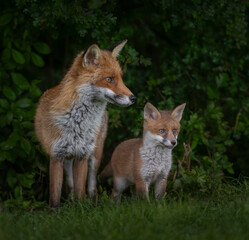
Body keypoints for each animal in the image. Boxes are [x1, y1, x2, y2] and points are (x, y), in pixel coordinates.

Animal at [34, 39, 135, 208]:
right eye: (109, 79)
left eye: (121, 78)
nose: (134, 98)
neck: (77, 122)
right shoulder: (56, 156)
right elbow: (55, 195)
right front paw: (55, 211)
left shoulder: (83, 155)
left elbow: (80, 190)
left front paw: (80, 208)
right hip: (68, 159)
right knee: (69, 184)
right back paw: (69, 202)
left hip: (95, 154)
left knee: (92, 186)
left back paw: (92, 203)